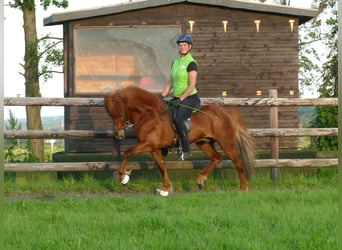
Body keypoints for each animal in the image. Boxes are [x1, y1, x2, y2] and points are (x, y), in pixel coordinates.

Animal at [105, 87, 255, 196]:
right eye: (111, 115)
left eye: (121, 114)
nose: (119, 135)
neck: (149, 115)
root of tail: (227, 112)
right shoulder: (154, 148)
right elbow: (161, 166)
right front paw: (165, 189)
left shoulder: (147, 144)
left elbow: (127, 153)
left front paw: (124, 177)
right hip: (204, 142)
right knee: (216, 158)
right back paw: (201, 180)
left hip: (226, 143)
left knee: (238, 162)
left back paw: (243, 189)